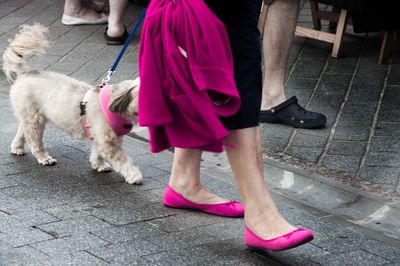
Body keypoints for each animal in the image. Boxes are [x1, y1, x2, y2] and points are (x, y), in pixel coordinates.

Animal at [1, 23, 144, 185]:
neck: (114, 102)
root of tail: (26, 72)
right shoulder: (108, 141)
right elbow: (123, 160)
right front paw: (134, 175)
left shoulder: (99, 136)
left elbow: (97, 152)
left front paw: (99, 165)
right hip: (35, 121)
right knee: (35, 142)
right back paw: (44, 158)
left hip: (30, 115)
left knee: (23, 131)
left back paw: (17, 147)